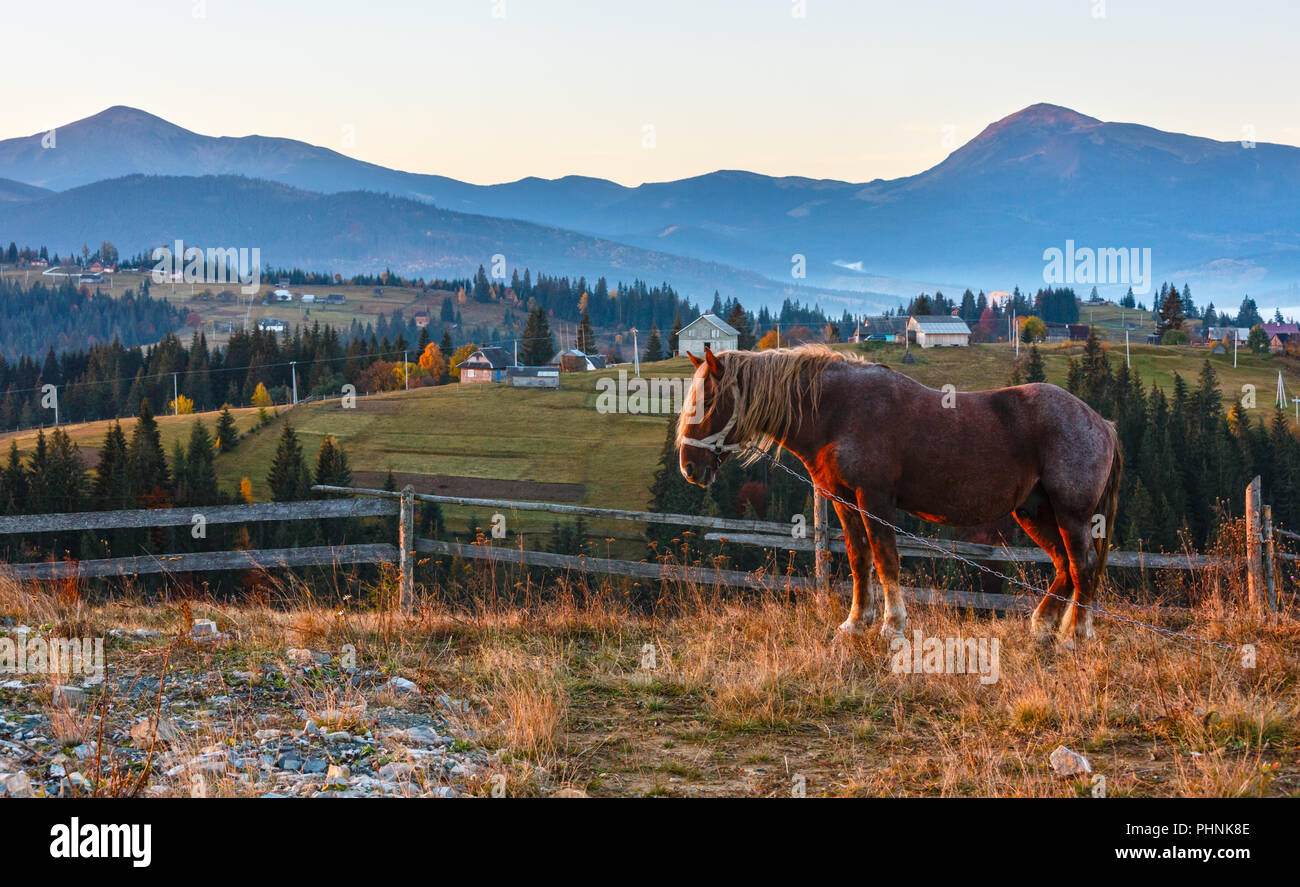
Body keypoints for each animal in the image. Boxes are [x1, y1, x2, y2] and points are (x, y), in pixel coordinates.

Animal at [676, 344, 1122, 647]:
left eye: (708, 400)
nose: (688, 468)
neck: (839, 411)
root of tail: (1101, 421)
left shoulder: (876, 500)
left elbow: (885, 560)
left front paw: (892, 625)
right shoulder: (842, 500)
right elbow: (859, 560)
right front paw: (855, 623)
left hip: (1071, 514)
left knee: (1081, 566)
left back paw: (1075, 635)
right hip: (1033, 513)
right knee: (1064, 567)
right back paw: (1044, 626)